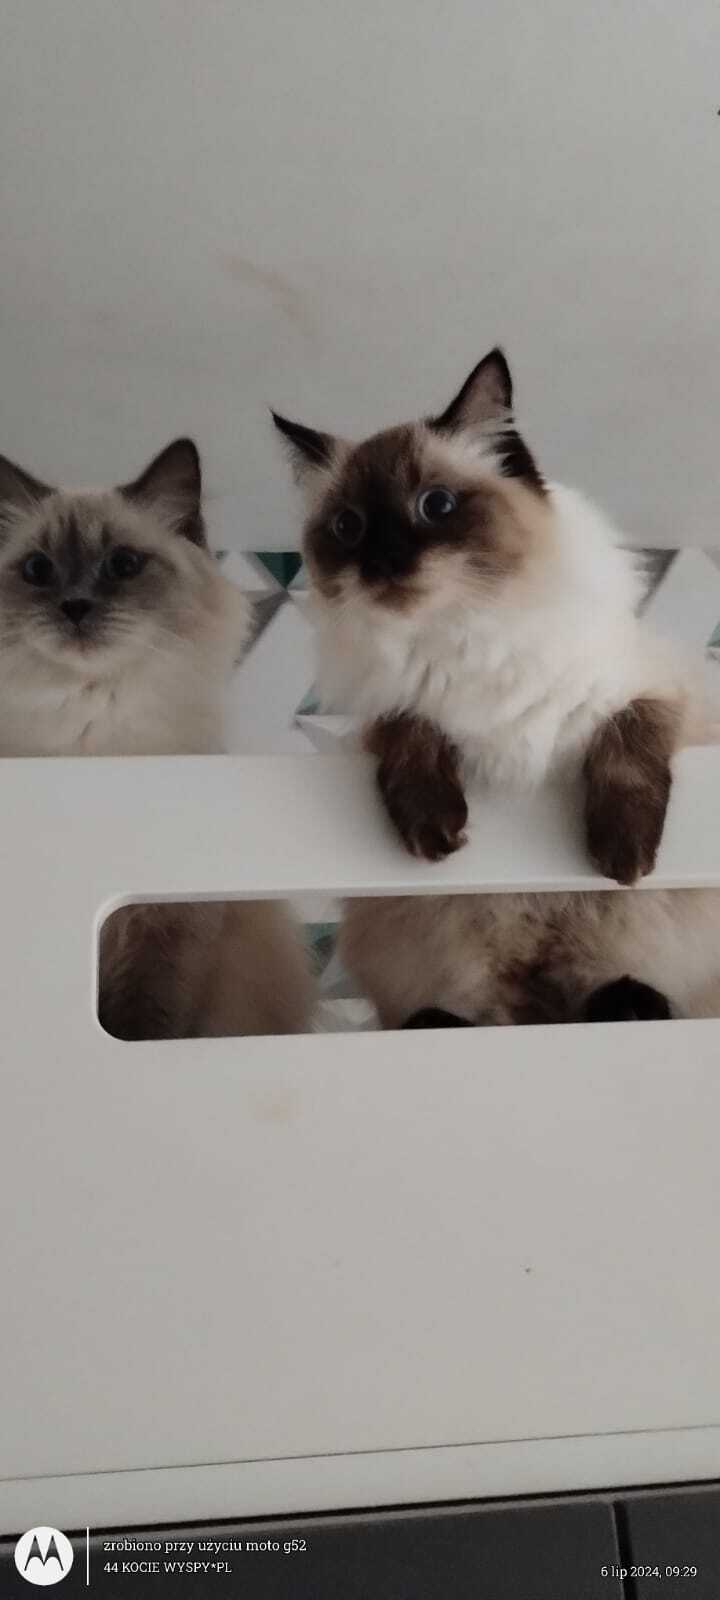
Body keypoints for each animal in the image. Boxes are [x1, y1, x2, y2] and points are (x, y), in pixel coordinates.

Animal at [273, 349, 720, 1028]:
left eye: (435, 505)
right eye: (348, 526)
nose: (383, 562)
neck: (464, 633)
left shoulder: (652, 692)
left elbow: (628, 739)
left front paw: (623, 856)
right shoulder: (386, 714)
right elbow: (411, 732)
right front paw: (434, 829)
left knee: (627, 993)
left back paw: (630, 1004)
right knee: (456, 1015)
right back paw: (438, 1022)